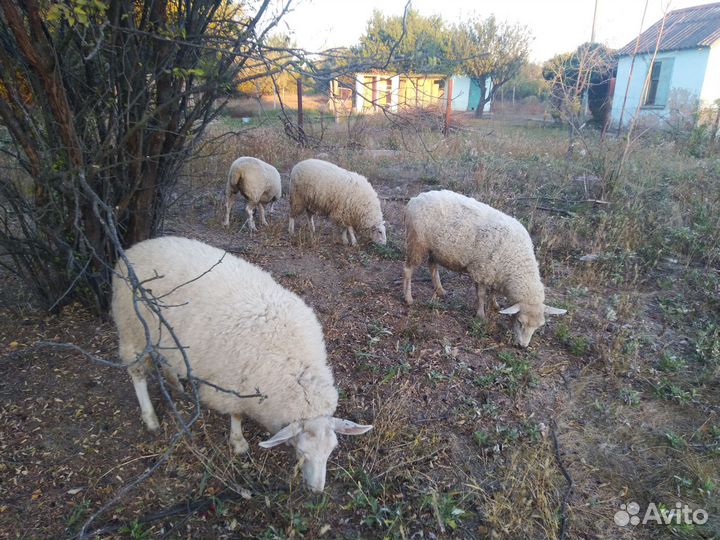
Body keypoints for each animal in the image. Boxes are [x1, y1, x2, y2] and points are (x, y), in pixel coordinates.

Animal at [111, 236, 372, 492]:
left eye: (331, 451)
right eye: (301, 451)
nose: (317, 491)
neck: (293, 362)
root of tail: (135, 249)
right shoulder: (232, 385)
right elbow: (236, 415)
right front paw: (238, 443)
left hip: (162, 334)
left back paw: (176, 384)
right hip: (132, 328)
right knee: (137, 373)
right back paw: (150, 418)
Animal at [403, 190, 566, 347]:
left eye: (538, 327)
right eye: (520, 322)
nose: (522, 346)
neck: (516, 261)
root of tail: (416, 199)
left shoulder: (495, 272)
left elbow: (493, 291)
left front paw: (494, 304)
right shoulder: (481, 270)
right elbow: (481, 294)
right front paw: (481, 315)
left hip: (435, 248)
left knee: (432, 265)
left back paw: (440, 290)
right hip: (416, 242)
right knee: (408, 270)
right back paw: (408, 298)